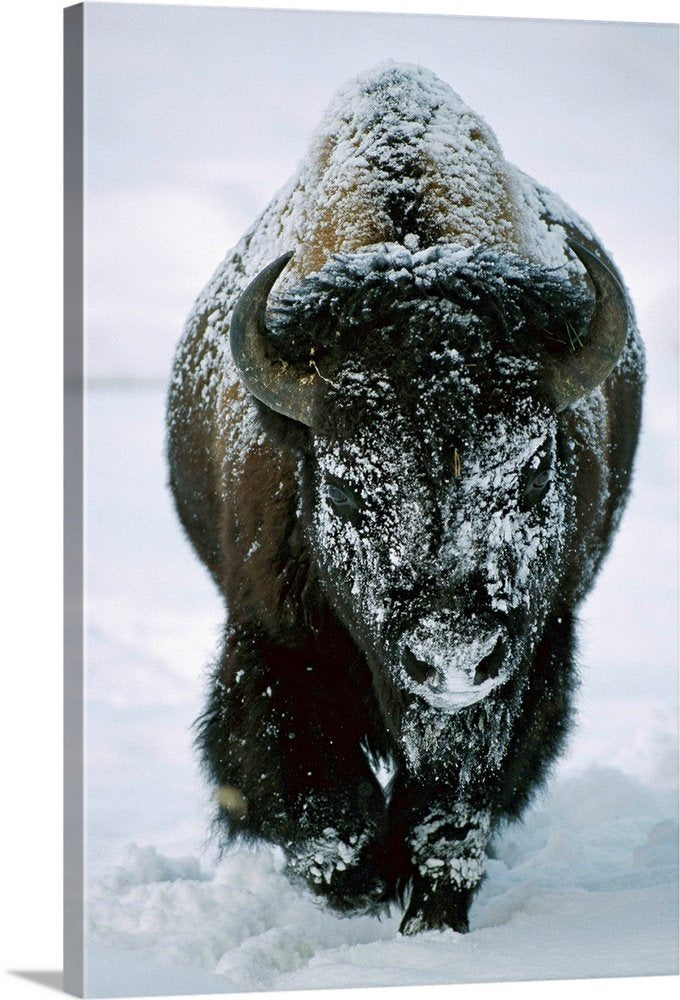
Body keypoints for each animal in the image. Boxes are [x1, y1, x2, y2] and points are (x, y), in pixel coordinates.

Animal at [167, 63, 644, 934]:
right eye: (347, 489)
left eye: (532, 469)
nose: (453, 657)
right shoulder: (271, 644)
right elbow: (319, 809)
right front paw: (362, 889)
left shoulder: (529, 660)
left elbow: (449, 816)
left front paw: (429, 916)